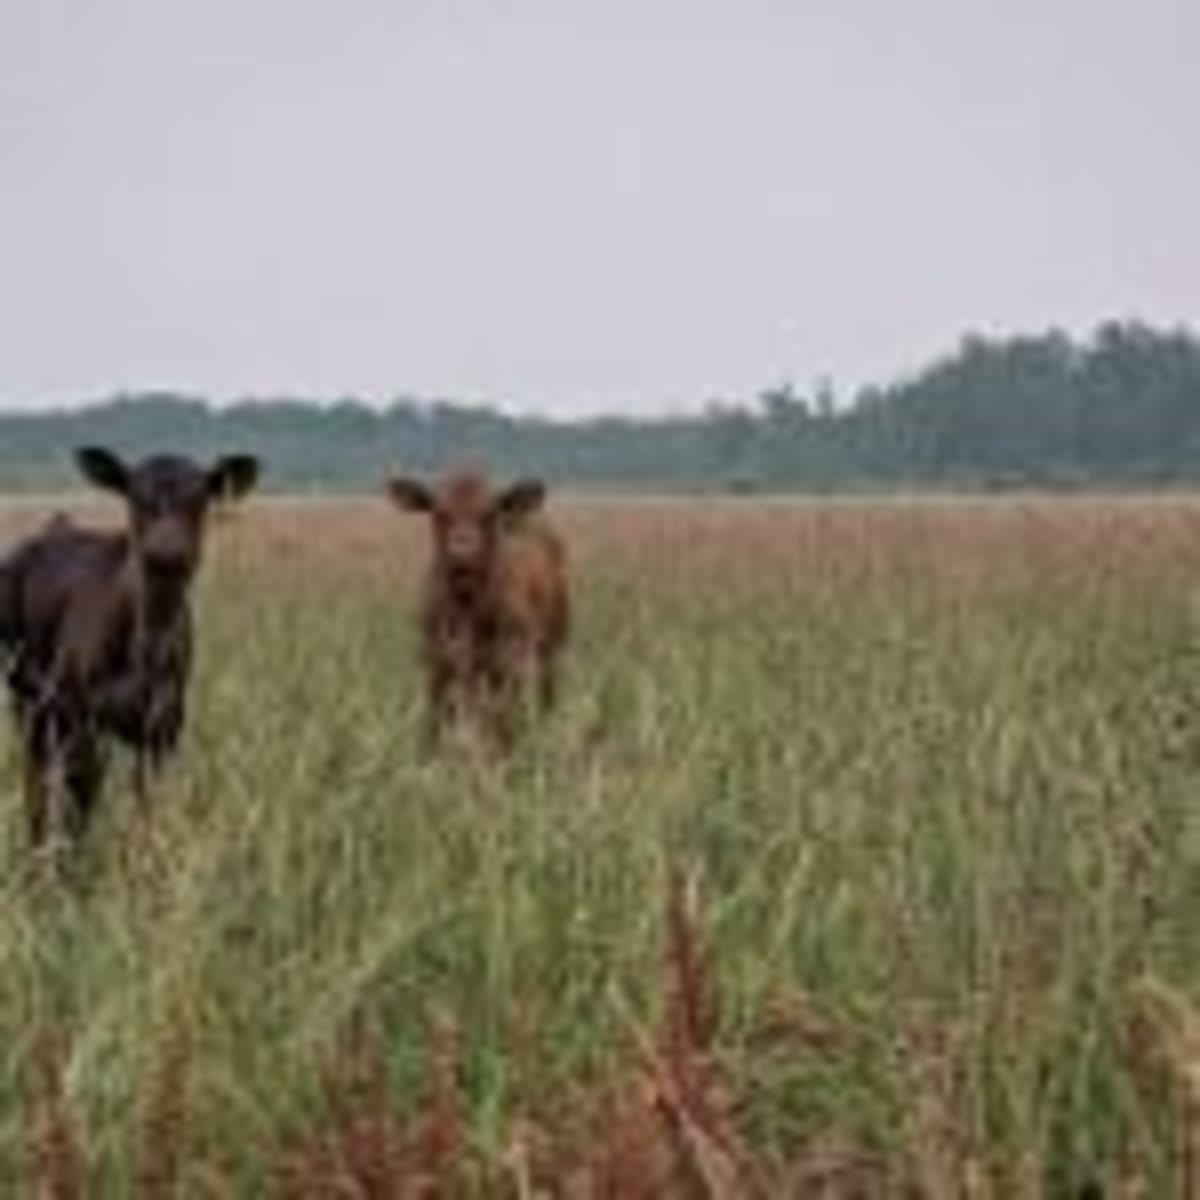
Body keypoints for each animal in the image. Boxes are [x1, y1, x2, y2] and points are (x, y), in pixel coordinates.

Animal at [0, 446, 260, 859]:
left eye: (199, 499)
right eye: (136, 497)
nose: (166, 551)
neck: (146, 648)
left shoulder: (162, 730)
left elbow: (147, 808)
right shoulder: (81, 716)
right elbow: (78, 803)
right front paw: (72, 868)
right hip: (29, 699)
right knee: (39, 781)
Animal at [386, 468, 570, 751]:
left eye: (489, 514)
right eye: (440, 512)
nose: (463, 549)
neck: (467, 609)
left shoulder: (509, 663)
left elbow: (502, 724)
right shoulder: (436, 663)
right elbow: (436, 720)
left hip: (550, 653)